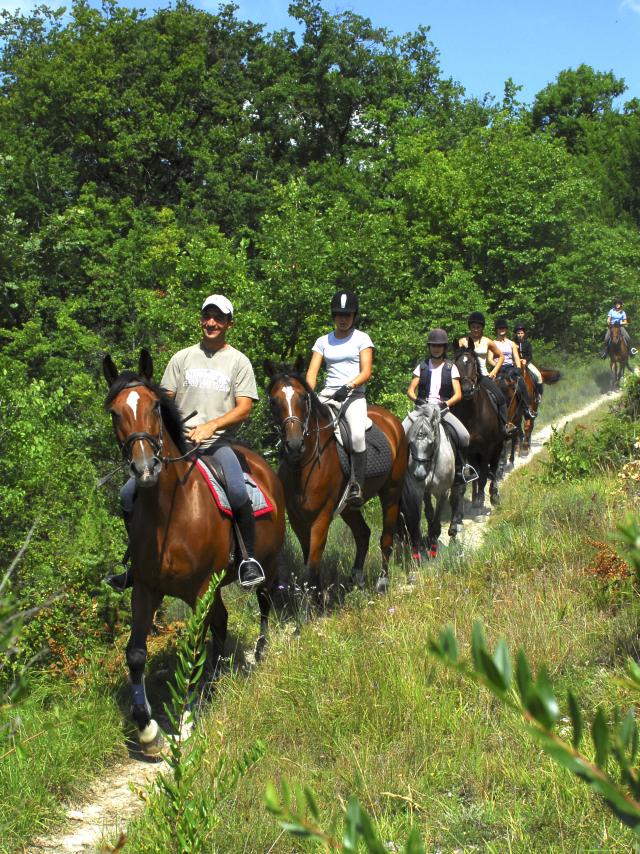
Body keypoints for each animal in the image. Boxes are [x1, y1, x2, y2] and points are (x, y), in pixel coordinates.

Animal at [104, 350, 284, 756]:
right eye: (115, 412)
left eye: (155, 406)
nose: (145, 469)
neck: (170, 514)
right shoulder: (146, 588)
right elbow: (135, 653)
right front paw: (148, 730)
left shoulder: (200, 587)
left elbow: (193, 648)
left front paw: (187, 719)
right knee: (221, 622)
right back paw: (213, 685)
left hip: (266, 565)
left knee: (265, 604)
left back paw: (260, 654)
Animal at [264, 360, 404, 596]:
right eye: (274, 401)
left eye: (303, 398)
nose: (294, 446)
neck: (304, 465)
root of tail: (391, 420)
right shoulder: (297, 518)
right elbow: (309, 561)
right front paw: (318, 598)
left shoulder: (321, 517)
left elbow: (312, 568)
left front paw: (315, 605)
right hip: (348, 507)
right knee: (362, 534)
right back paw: (355, 579)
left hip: (391, 492)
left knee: (386, 538)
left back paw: (382, 583)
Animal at [450, 342, 504, 516]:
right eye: (456, 365)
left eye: (474, 363)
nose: (466, 389)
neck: (472, 413)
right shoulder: (466, 450)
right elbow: (472, 474)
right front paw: (474, 501)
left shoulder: (487, 448)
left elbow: (484, 474)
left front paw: (481, 501)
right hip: (474, 452)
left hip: (498, 446)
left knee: (493, 468)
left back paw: (493, 496)